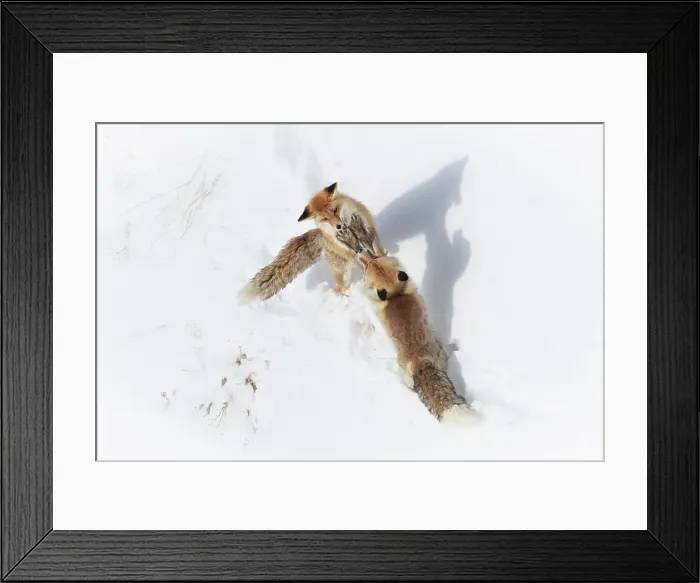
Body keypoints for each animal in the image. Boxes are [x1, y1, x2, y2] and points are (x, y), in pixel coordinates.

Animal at [239, 182, 384, 303]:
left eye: (335, 210)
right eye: (325, 218)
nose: (339, 226)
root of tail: (321, 235)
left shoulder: (368, 230)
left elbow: (377, 250)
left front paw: (382, 258)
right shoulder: (349, 250)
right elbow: (362, 261)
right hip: (344, 273)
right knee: (341, 287)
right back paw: (348, 294)